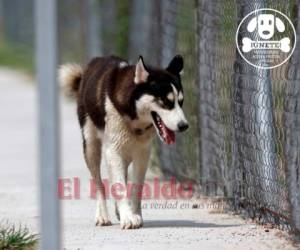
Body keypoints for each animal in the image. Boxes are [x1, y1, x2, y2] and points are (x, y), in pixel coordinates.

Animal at [59, 55, 188, 229]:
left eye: (180, 102)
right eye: (165, 102)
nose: (184, 126)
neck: (134, 119)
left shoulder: (142, 154)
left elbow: (135, 187)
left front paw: (134, 214)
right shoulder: (113, 151)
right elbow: (118, 187)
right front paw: (128, 217)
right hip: (91, 147)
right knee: (99, 183)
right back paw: (103, 215)